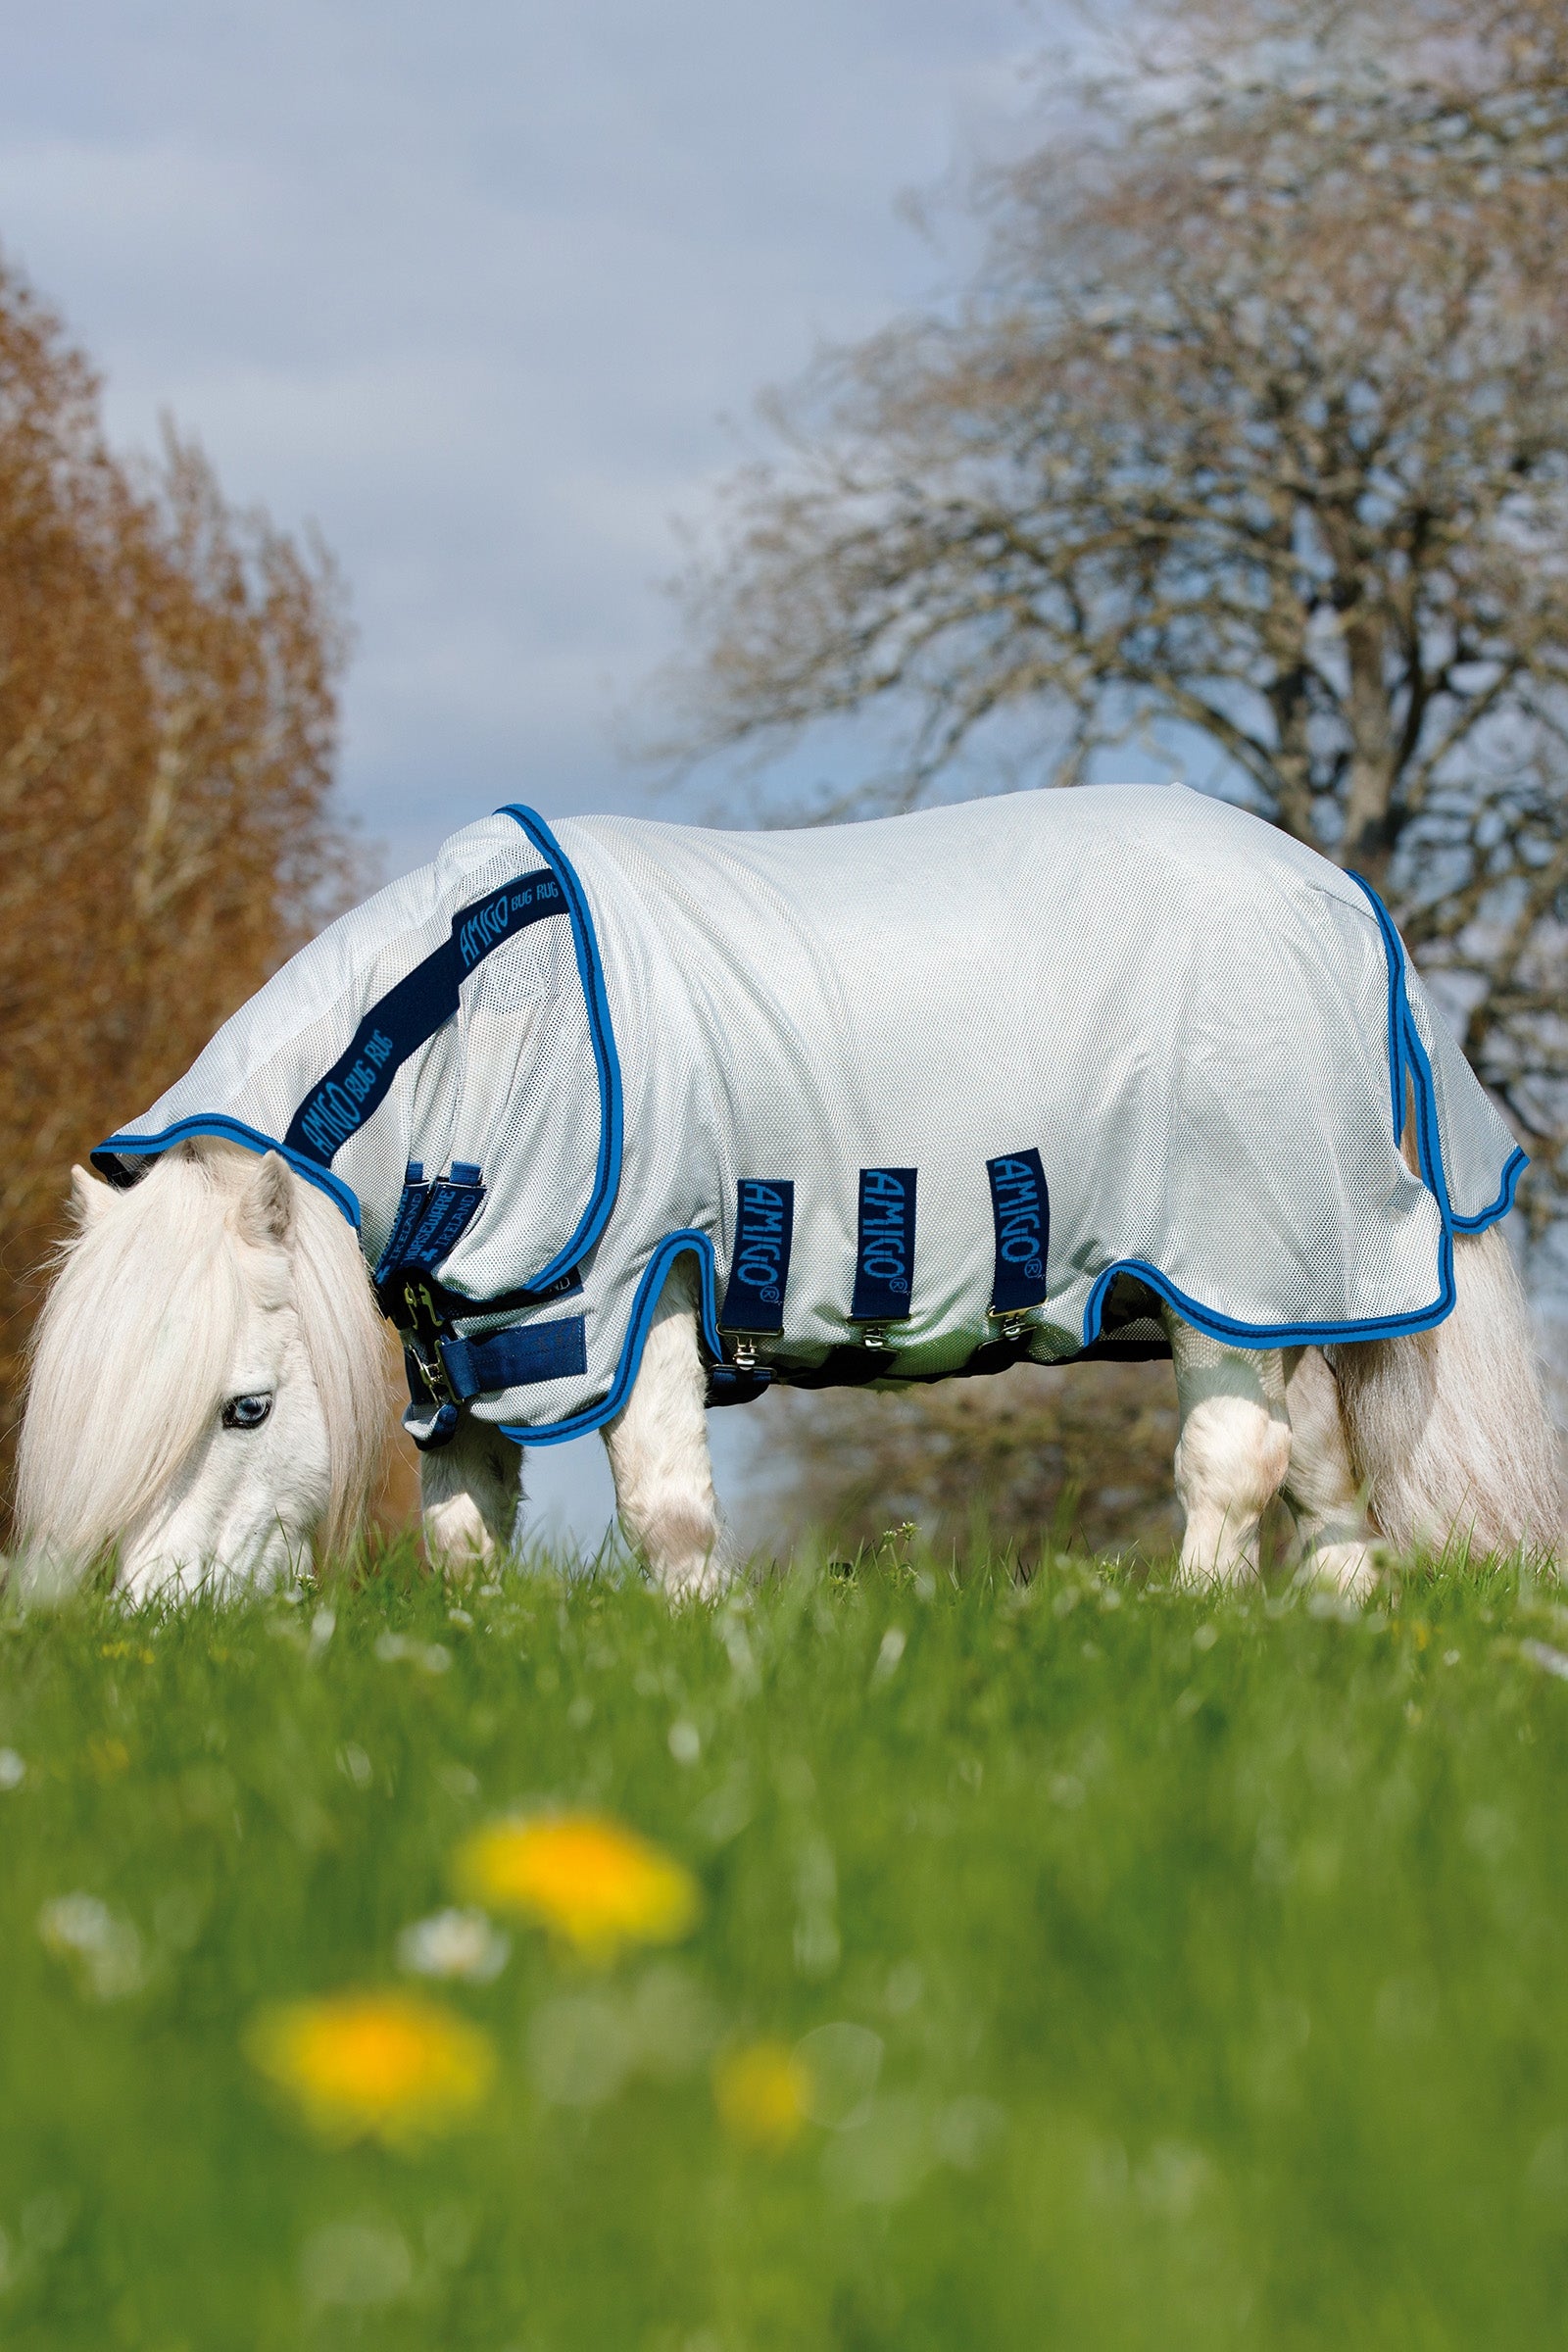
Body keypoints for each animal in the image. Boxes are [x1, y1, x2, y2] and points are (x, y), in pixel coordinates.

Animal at [12, 789, 1561, 1596]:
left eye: (245, 1407)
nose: (158, 1625)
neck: (479, 1021)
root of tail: (1344, 904)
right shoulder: (476, 1353)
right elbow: (463, 1541)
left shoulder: (632, 1297)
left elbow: (667, 1517)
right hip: (1278, 1299)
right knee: (1327, 1490)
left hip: (1224, 1283)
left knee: (1231, 1469)